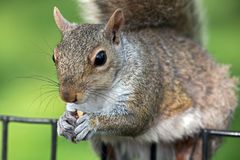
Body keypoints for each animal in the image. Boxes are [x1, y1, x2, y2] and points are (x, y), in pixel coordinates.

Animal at [53, 0, 238, 159]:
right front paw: (63, 122)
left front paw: (92, 122)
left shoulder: (145, 83)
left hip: (212, 122)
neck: (99, 95)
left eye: (100, 58)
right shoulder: (77, 107)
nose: (67, 95)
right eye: (54, 56)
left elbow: (136, 120)